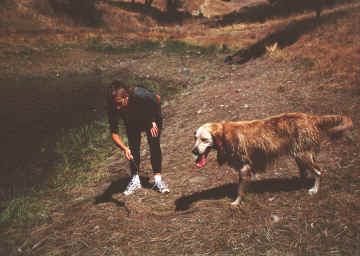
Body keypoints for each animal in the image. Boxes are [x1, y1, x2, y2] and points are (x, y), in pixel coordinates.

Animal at [193, 112, 352, 206]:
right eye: (195, 138)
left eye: (204, 139)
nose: (193, 151)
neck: (225, 135)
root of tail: (310, 117)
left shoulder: (244, 167)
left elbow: (240, 190)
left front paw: (236, 202)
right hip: (298, 154)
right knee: (305, 171)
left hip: (303, 155)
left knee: (318, 171)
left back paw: (314, 189)